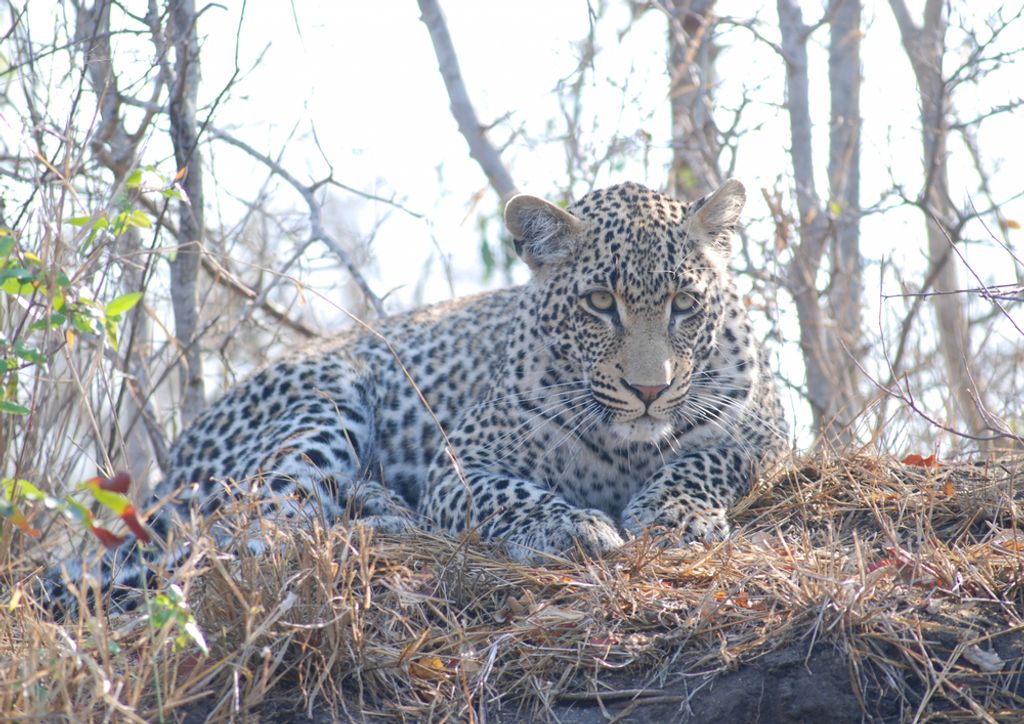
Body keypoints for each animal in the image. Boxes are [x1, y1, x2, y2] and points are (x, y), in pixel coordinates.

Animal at [43, 178, 788, 611]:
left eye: (684, 304)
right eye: (600, 303)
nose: (649, 389)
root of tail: (174, 459)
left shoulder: (764, 429)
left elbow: (707, 458)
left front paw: (673, 513)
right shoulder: (460, 467)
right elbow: (508, 493)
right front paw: (568, 524)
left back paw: (378, 507)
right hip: (327, 397)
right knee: (255, 530)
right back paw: (381, 519)